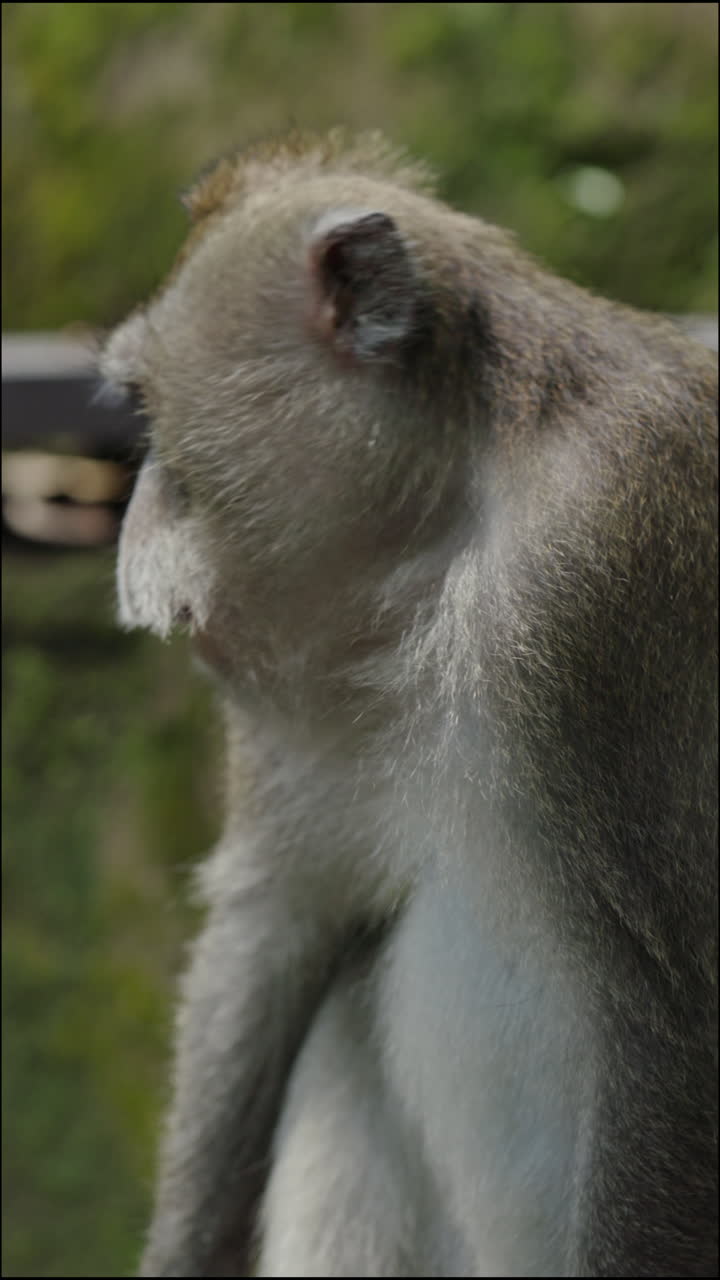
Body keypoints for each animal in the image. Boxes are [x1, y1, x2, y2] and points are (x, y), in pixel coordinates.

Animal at [100, 129, 718, 1278]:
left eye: (152, 415)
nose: (132, 519)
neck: (444, 534)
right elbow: (282, 913)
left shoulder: (595, 586)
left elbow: (671, 1021)